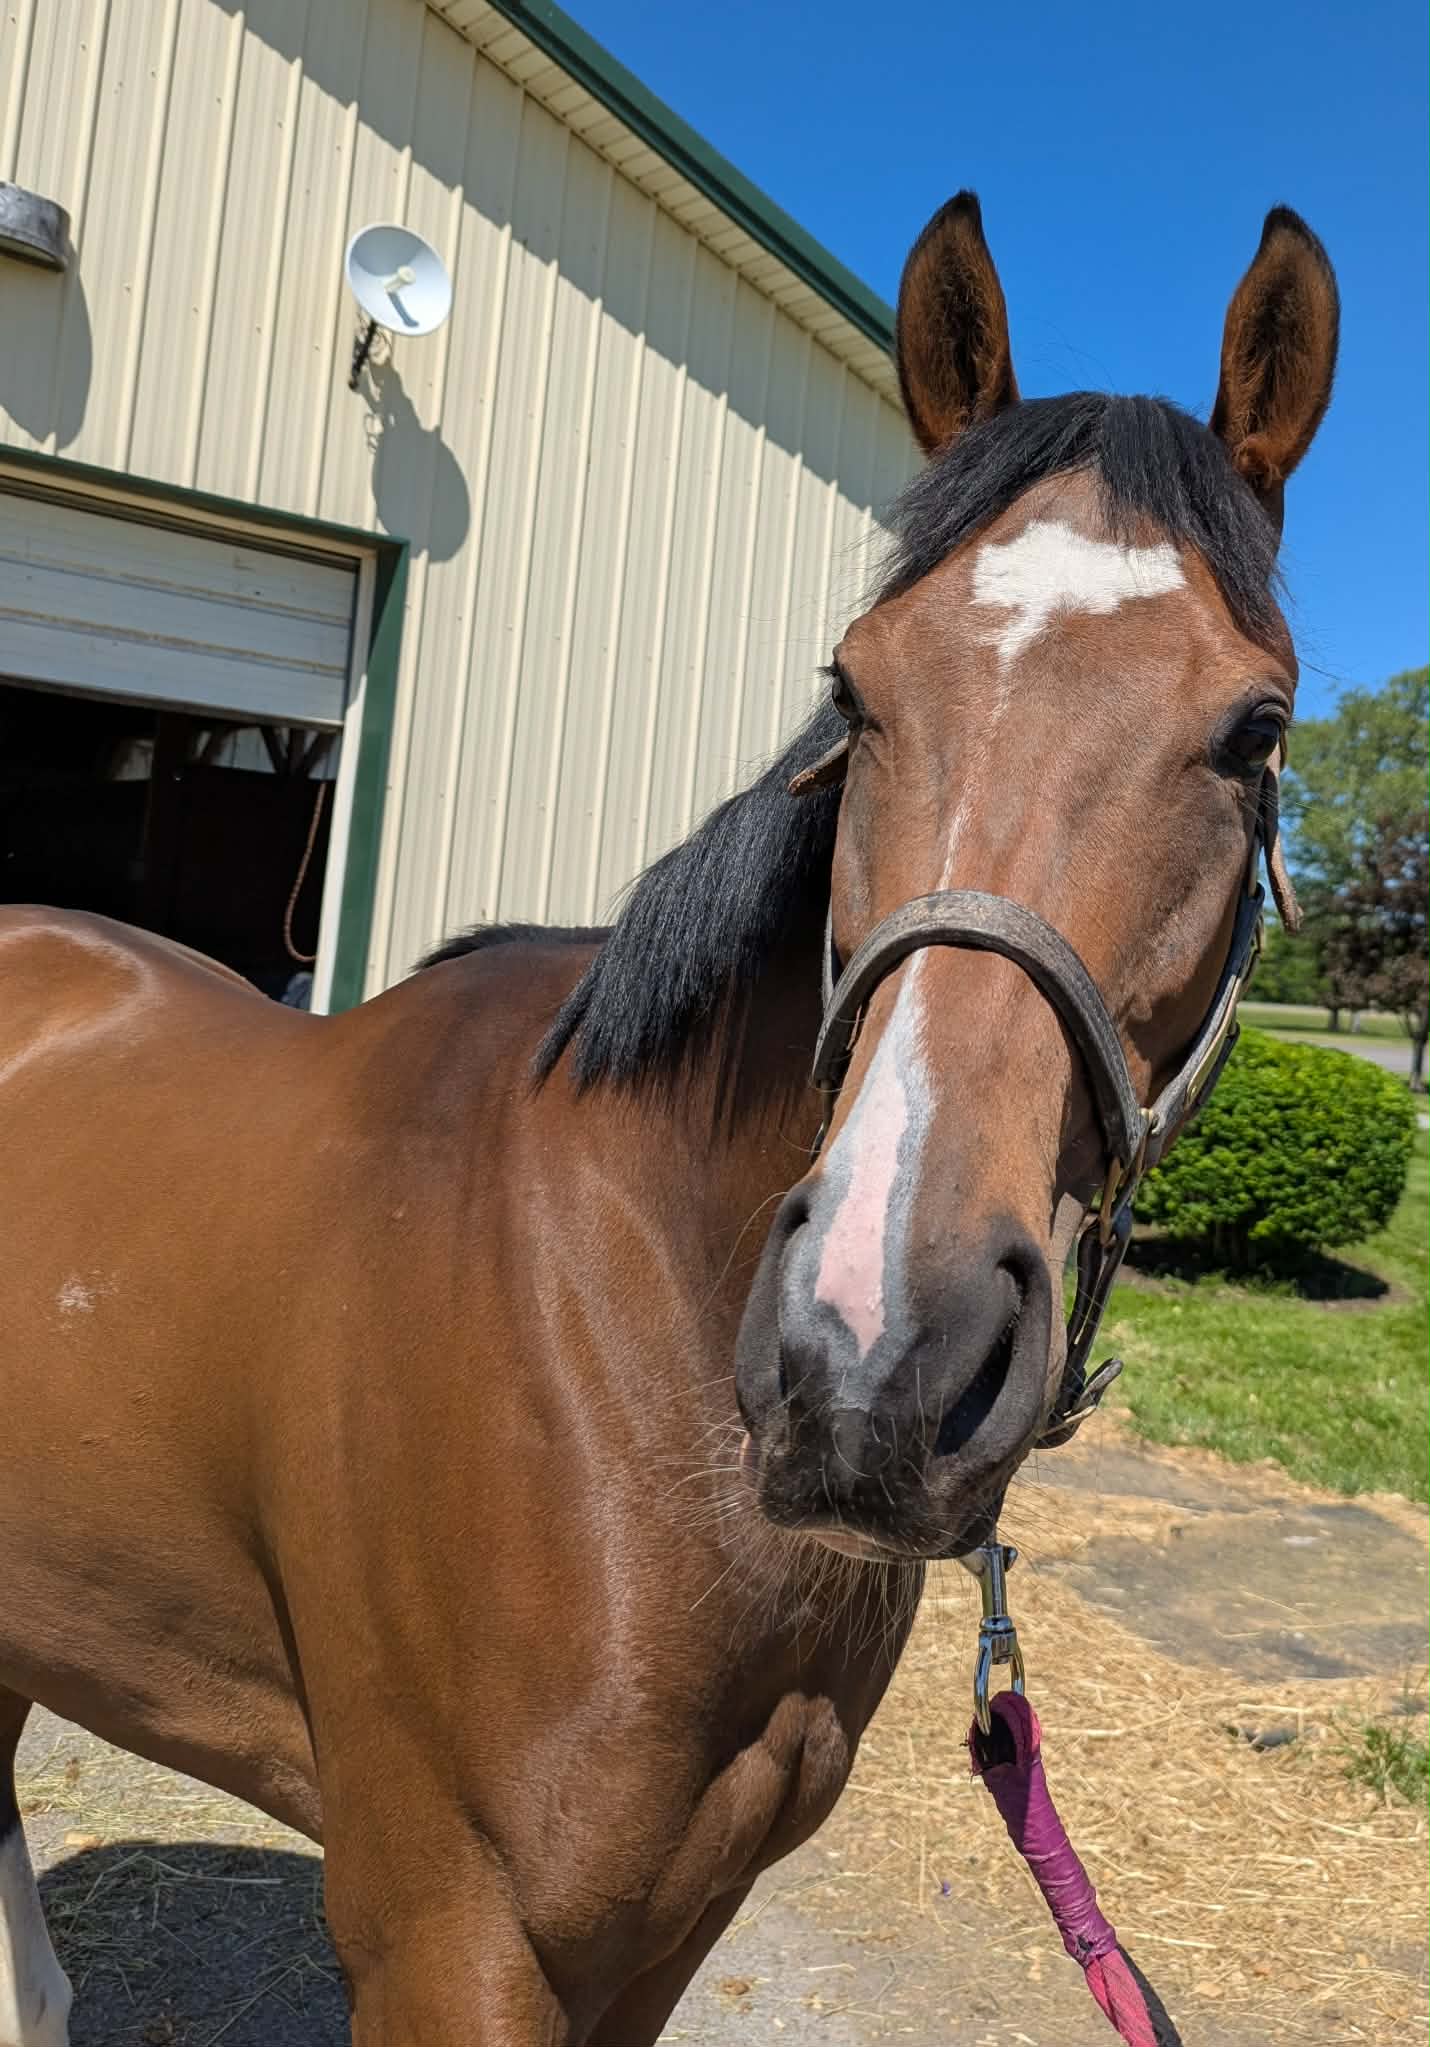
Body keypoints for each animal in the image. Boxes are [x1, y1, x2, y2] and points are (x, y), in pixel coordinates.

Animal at [0, 191, 1336, 2046]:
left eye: (1252, 728)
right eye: (853, 691)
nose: (871, 1349)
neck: (616, 1313)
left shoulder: (672, 1923)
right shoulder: (441, 1931)